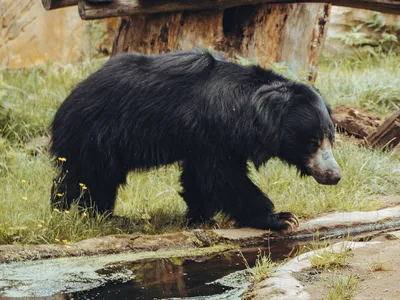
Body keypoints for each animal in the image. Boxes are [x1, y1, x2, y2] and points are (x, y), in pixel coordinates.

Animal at [48, 49, 340, 232]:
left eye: (330, 138)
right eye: (312, 142)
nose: (335, 175)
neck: (248, 113)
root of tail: (68, 100)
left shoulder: (214, 141)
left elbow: (199, 178)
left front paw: (201, 218)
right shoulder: (211, 132)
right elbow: (223, 177)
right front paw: (281, 218)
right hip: (95, 137)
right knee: (87, 179)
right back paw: (74, 213)